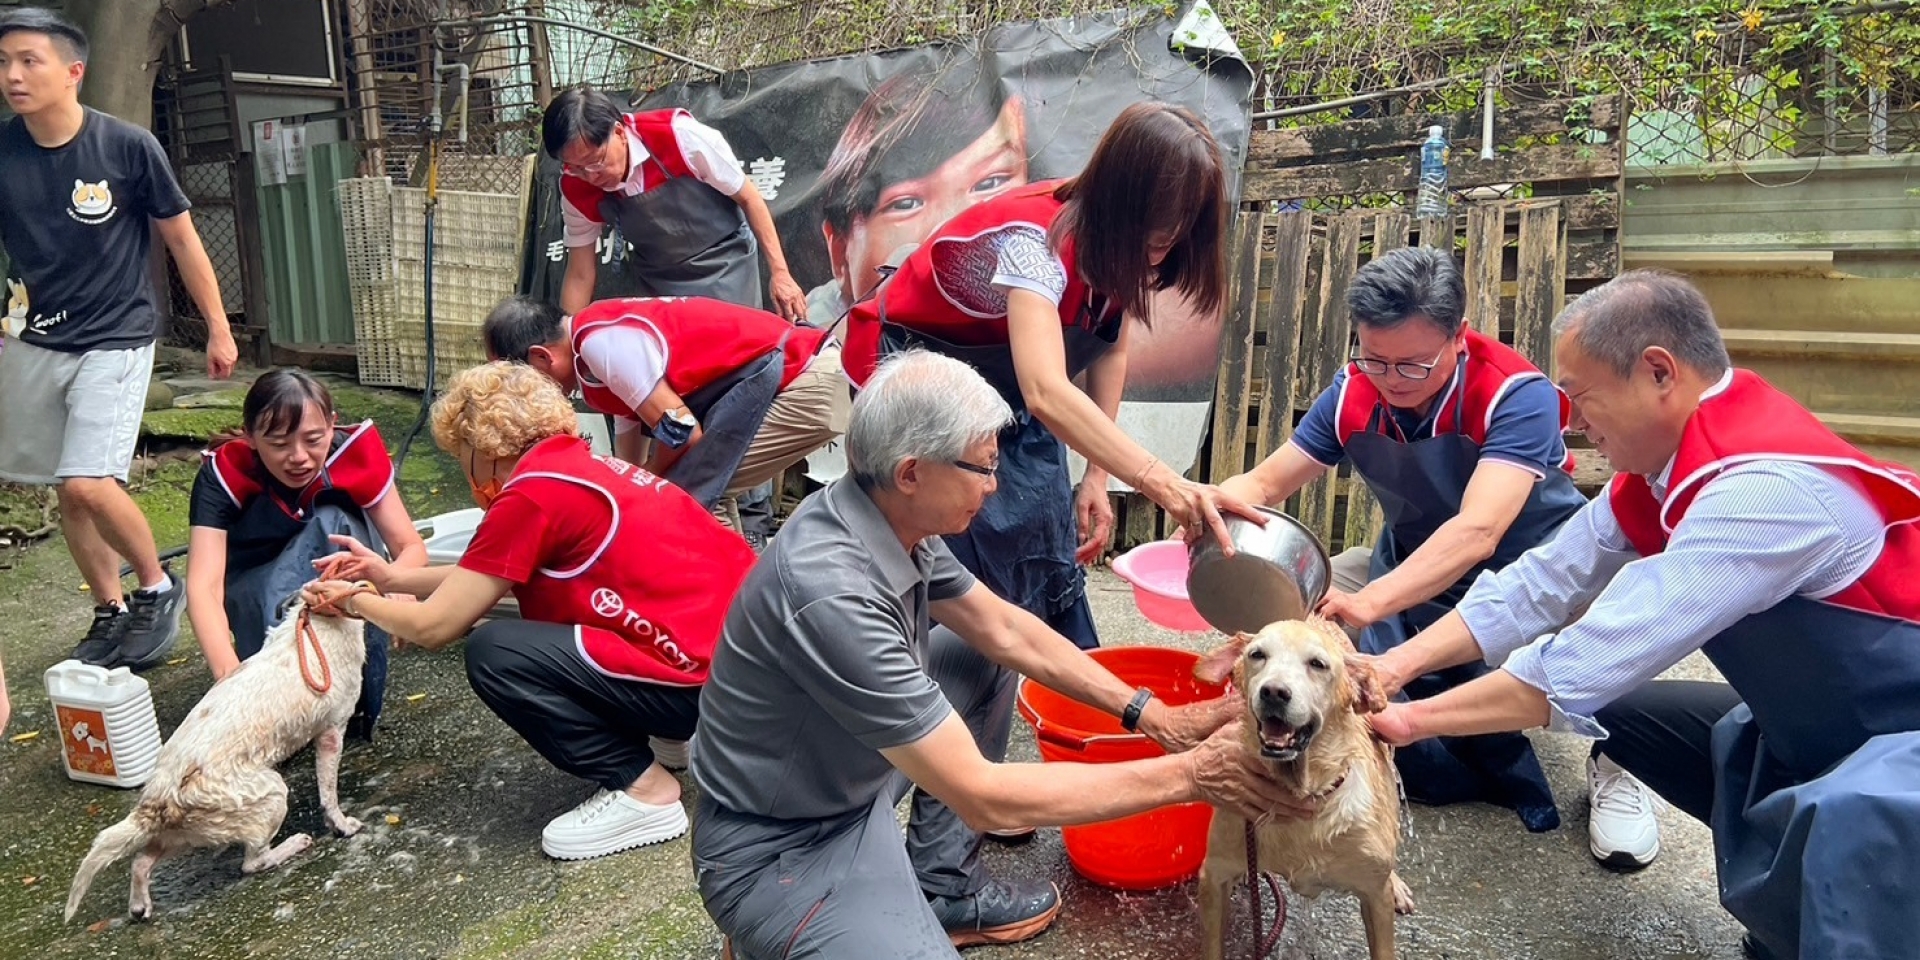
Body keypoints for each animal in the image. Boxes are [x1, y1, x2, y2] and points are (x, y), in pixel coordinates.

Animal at [64, 599, 366, 921]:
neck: (320, 619)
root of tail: (155, 801)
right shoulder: (332, 733)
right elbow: (329, 795)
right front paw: (341, 825)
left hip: (183, 835)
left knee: (140, 861)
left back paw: (139, 904)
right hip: (271, 795)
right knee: (253, 863)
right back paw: (292, 845)